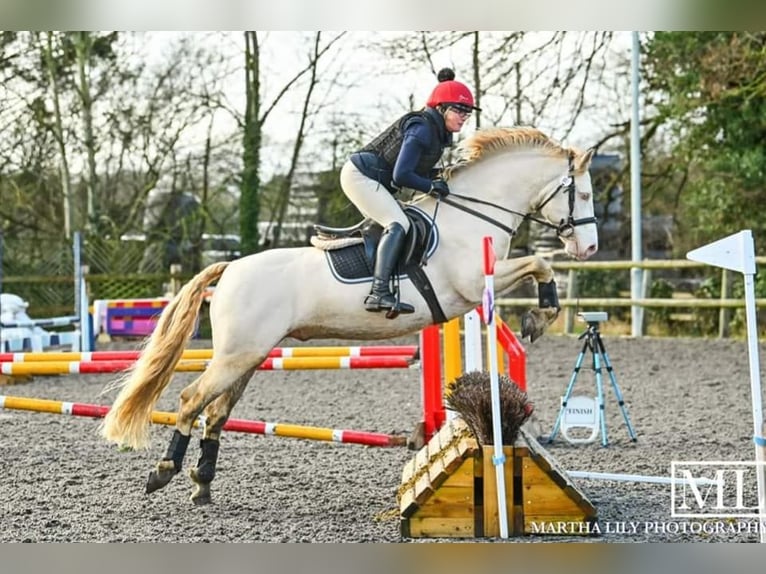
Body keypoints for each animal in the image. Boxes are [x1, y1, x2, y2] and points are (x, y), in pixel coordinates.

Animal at [100, 126, 600, 504]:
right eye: (585, 194)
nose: (590, 248)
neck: (472, 214)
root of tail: (231, 268)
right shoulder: (476, 284)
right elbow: (541, 263)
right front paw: (539, 318)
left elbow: (540, 264)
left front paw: (540, 317)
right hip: (236, 355)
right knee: (191, 401)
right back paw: (163, 471)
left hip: (249, 356)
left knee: (217, 412)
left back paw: (202, 484)